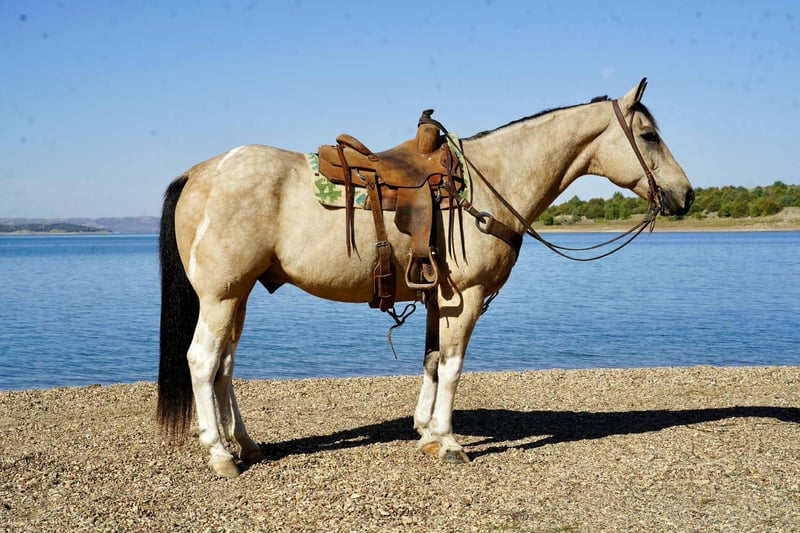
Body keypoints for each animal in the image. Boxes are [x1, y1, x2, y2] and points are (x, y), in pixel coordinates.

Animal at [157, 79, 694, 478]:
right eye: (649, 135)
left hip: (237, 296)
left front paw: (427, 432)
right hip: (222, 294)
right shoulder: (467, 297)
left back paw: (245, 443)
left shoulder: (439, 298)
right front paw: (450, 443)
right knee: (203, 361)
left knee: (225, 365)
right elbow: (454, 367)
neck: (490, 182)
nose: (685, 195)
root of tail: (201, 172)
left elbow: (433, 361)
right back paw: (220, 453)